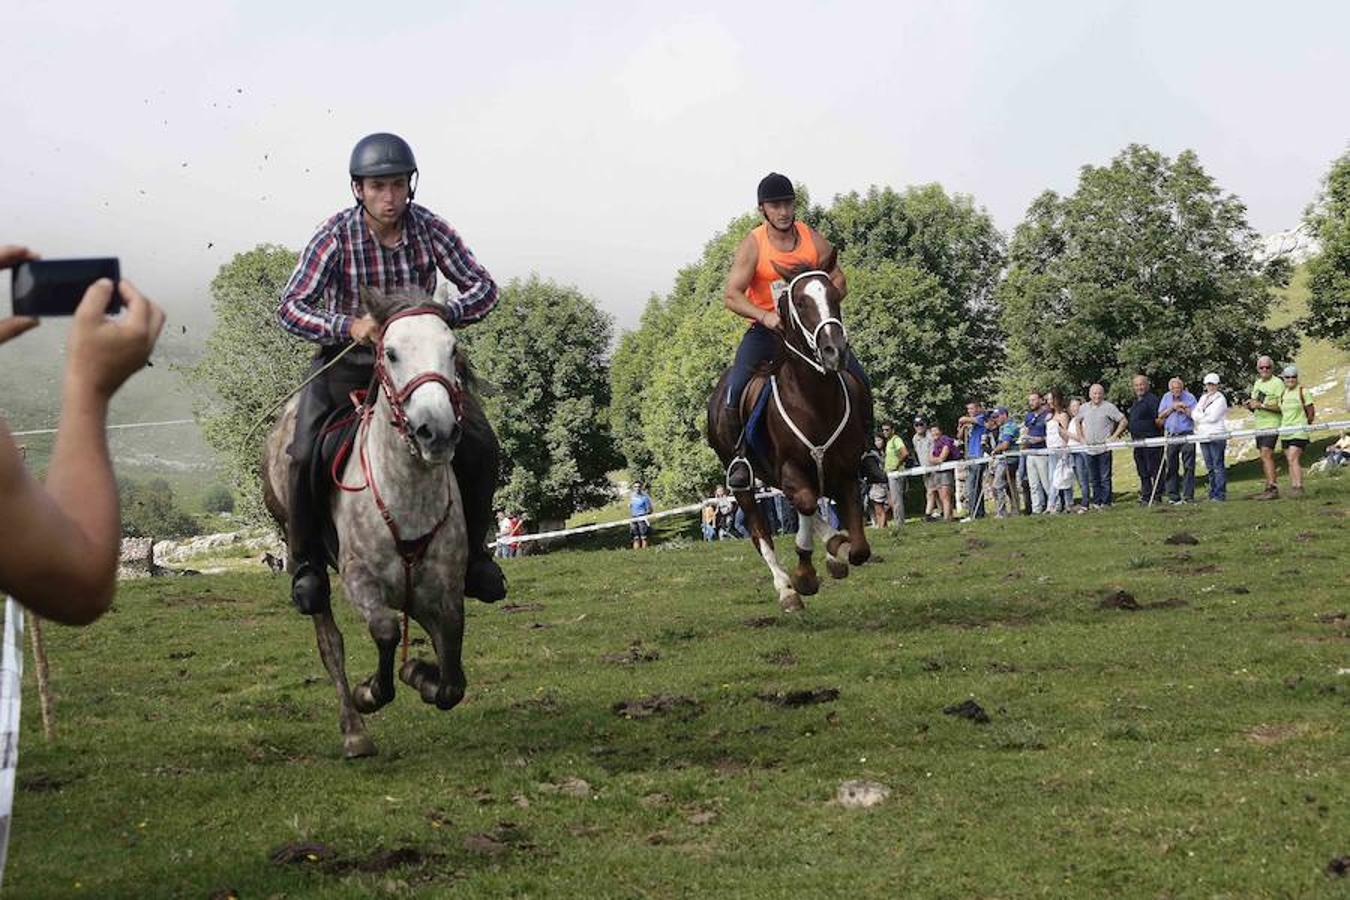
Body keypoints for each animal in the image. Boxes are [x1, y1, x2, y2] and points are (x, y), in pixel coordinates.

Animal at [263, 284, 469, 755]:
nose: (436, 431)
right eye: (390, 352)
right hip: (303, 554)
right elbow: (386, 630)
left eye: (452, 349)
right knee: (329, 642)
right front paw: (371, 691)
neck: (406, 496)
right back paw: (354, 730)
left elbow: (452, 674)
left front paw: (422, 675)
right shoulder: (360, 579)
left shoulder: (446, 591)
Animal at [707, 253, 874, 612]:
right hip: (744, 481)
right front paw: (804, 575)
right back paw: (786, 589)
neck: (814, 401)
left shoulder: (846, 472)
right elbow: (808, 504)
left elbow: (858, 549)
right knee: (761, 532)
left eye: (834, 296)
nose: (834, 351)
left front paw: (837, 551)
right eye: (800, 301)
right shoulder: (791, 468)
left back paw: (833, 546)